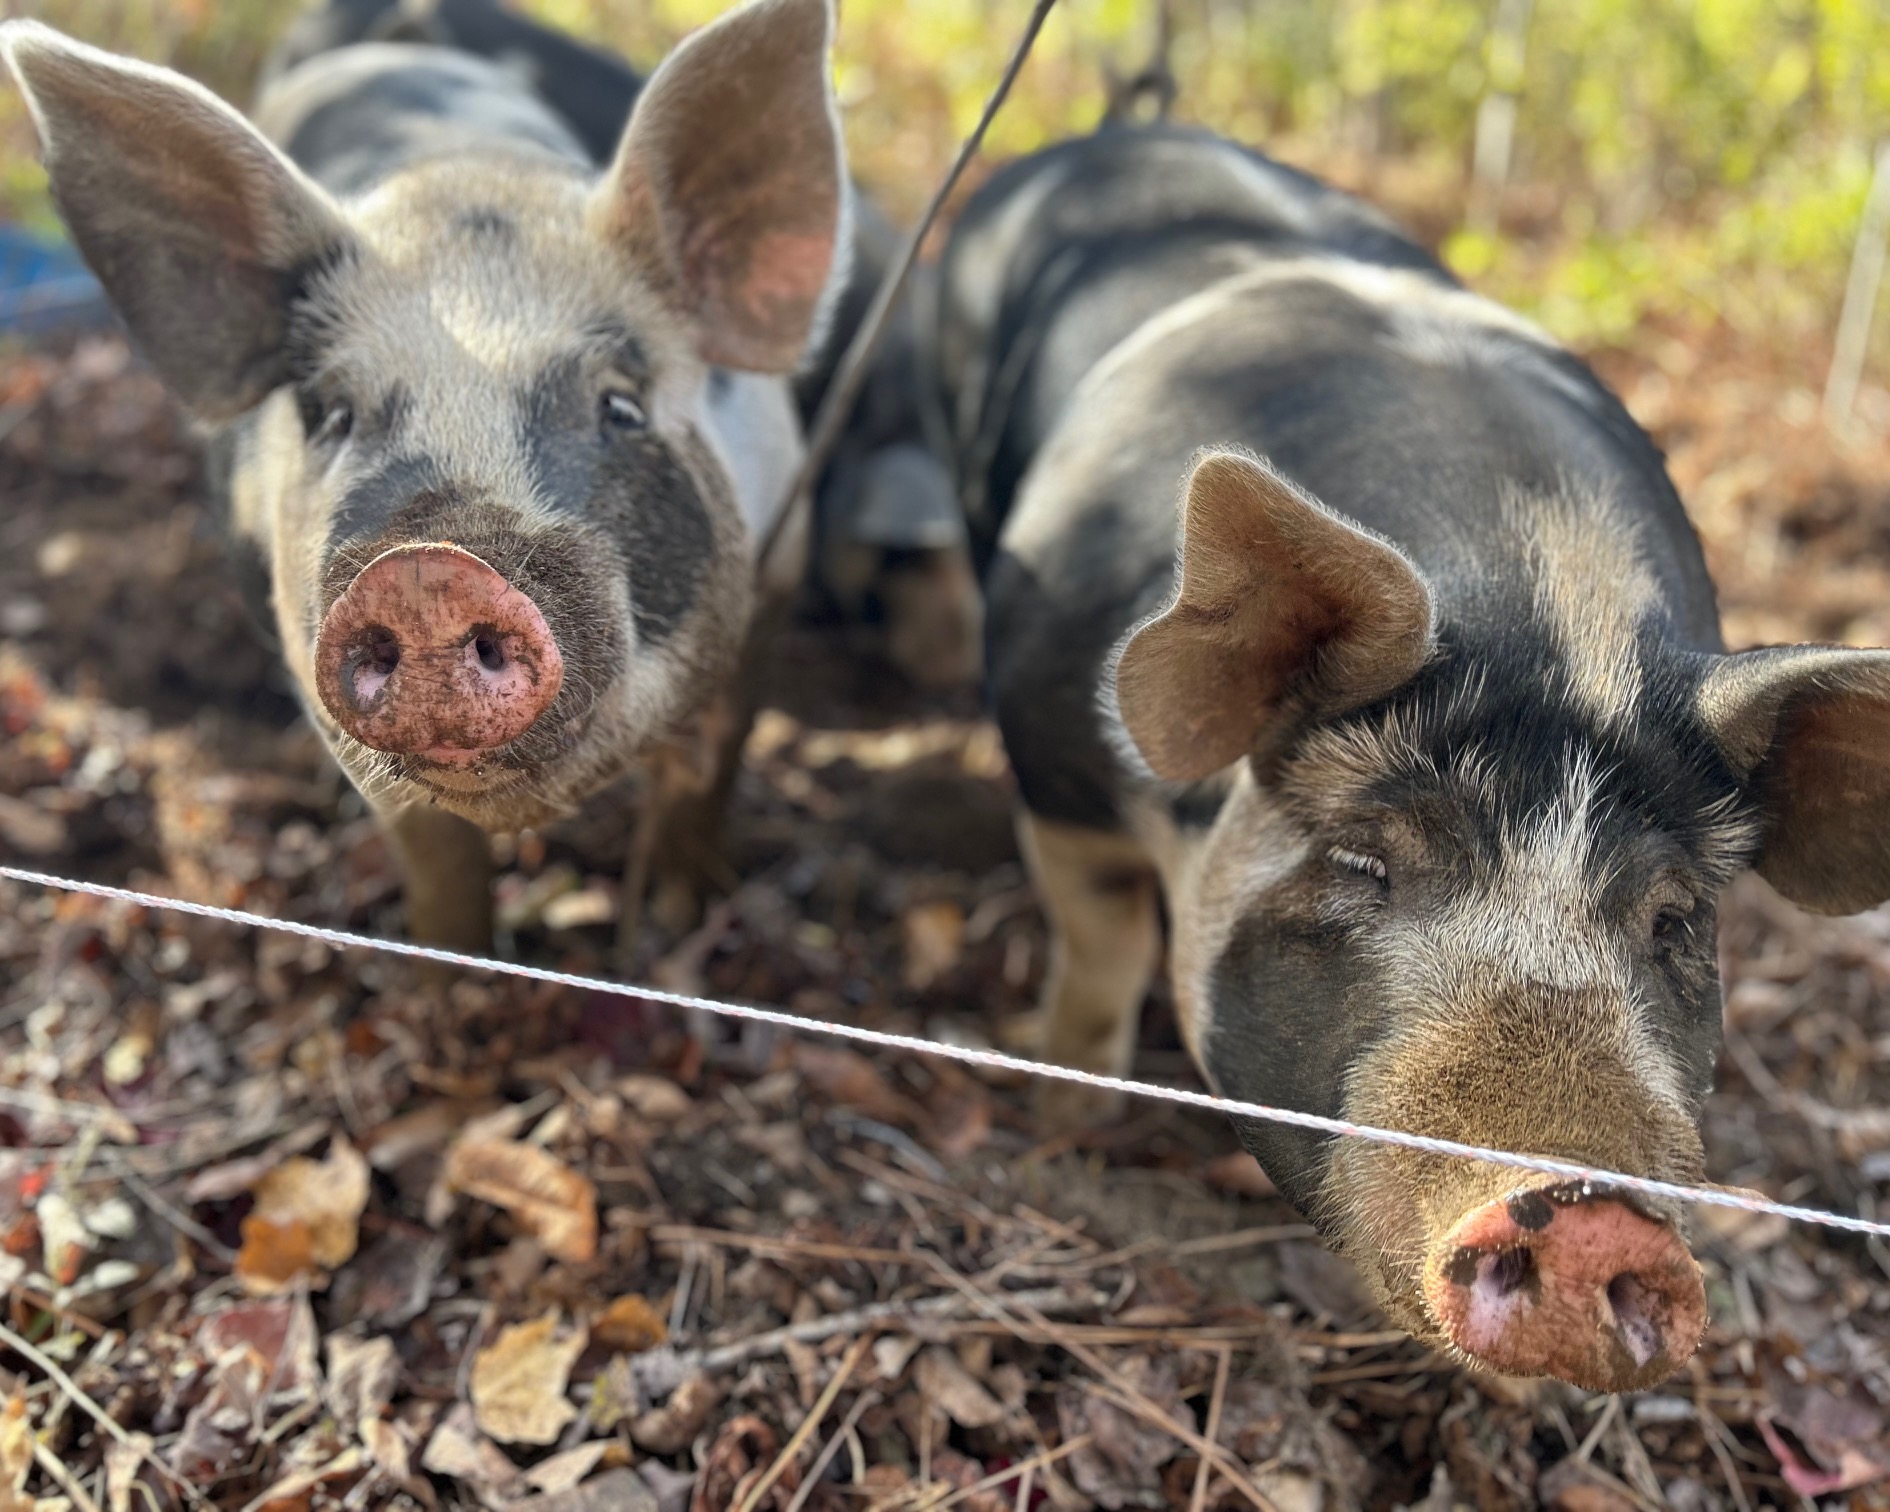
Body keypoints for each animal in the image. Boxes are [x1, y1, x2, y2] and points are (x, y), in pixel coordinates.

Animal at [0, 0, 850, 951]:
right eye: (332, 414)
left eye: (622, 406)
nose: (428, 573)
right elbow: (437, 861)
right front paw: (452, 972)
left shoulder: (780, 566)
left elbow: (713, 762)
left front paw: (676, 920)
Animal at [923, 123, 1890, 1393]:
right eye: (1362, 862)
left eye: (1675, 918)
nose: (1587, 1213)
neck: (1545, 607)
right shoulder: (1055, 763)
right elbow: (1103, 948)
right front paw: (1063, 1111)